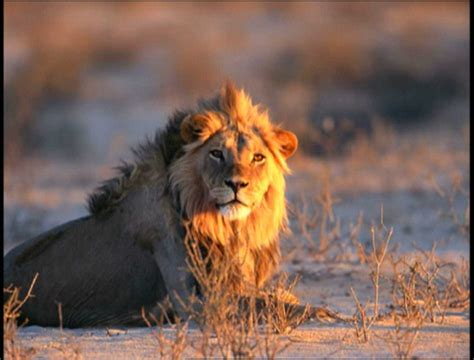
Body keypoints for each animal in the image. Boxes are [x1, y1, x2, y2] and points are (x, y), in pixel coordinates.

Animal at [2, 82, 318, 330]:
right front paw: (322, 312)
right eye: (216, 153)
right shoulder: (193, 302)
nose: (236, 184)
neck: (225, 227)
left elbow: (277, 297)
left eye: (258, 158)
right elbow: (270, 305)